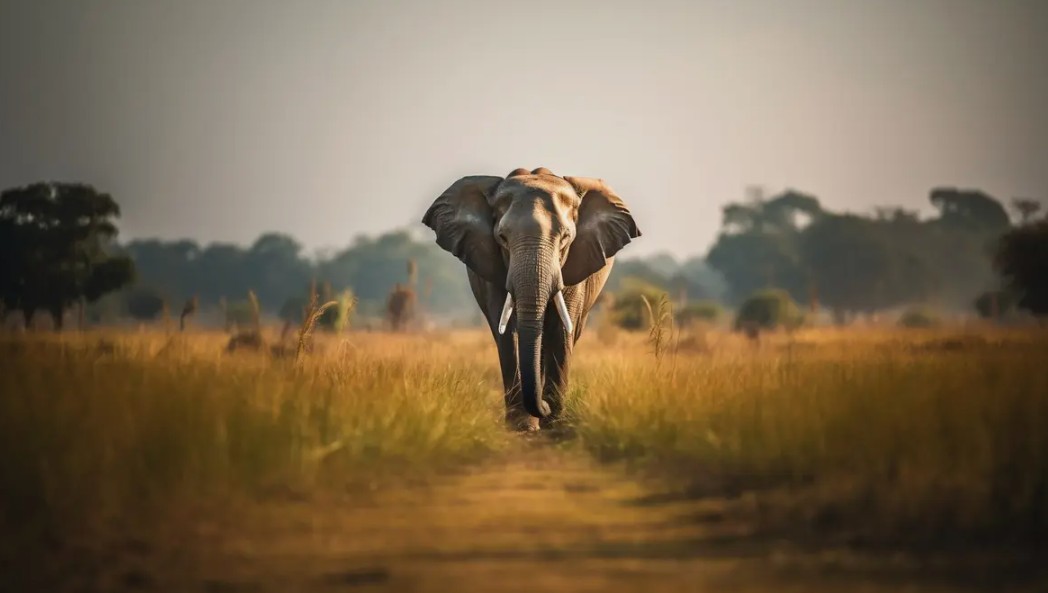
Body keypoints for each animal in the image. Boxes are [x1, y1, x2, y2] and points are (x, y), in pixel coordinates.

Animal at [422, 167, 642, 431]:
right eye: (502, 237)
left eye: (565, 238)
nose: (543, 407)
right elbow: (507, 332)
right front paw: (522, 426)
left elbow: (561, 330)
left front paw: (553, 425)